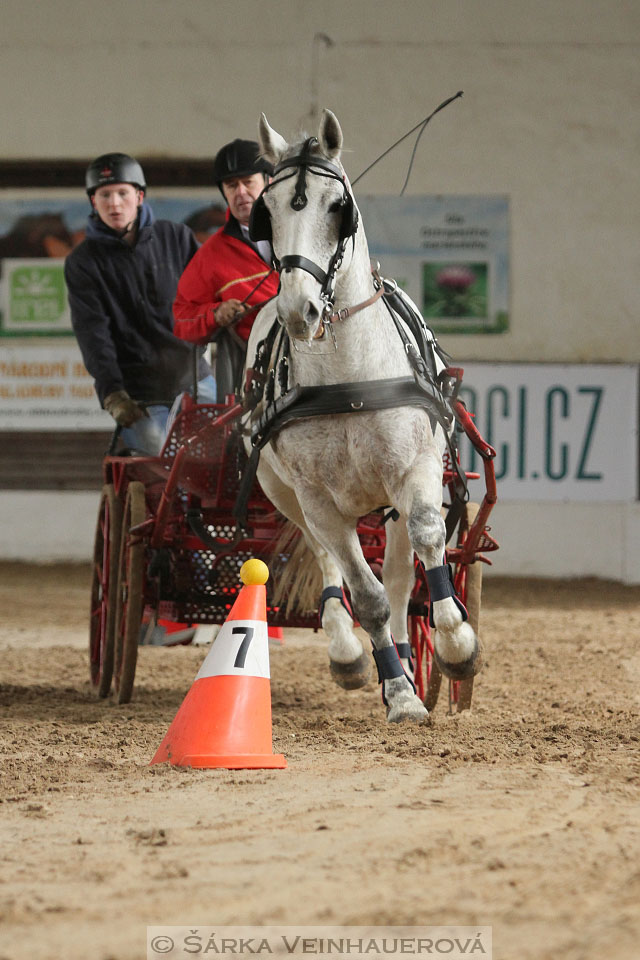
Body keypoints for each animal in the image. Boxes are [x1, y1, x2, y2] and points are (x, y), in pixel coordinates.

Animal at [242, 109, 478, 720]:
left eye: (336, 206)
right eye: (267, 210)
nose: (298, 310)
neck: (346, 379)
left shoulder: (415, 469)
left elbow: (425, 542)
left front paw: (456, 645)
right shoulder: (317, 500)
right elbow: (363, 595)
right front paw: (398, 693)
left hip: (389, 497)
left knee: (400, 573)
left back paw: (413, 653)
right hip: (285, 493)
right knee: (331, 563)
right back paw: (353, 655)